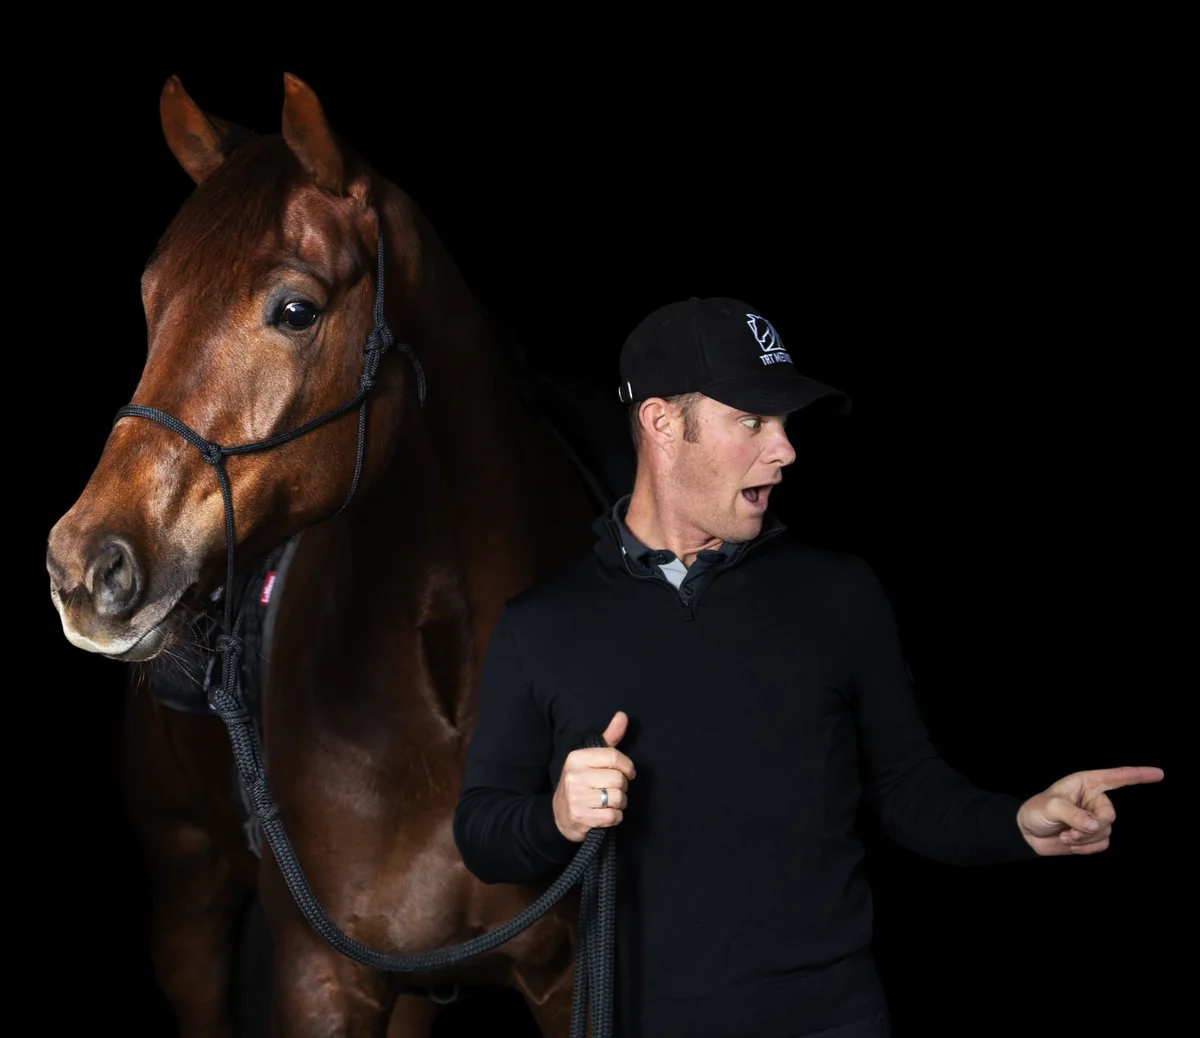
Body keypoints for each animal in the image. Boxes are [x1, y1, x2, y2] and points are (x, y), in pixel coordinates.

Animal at [45, 72, 604, 1037]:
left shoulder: (565, 976)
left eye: (295, 310)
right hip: (187, 893)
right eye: (153, 299)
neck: (449, 687)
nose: (84, 566)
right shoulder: (320, 977)